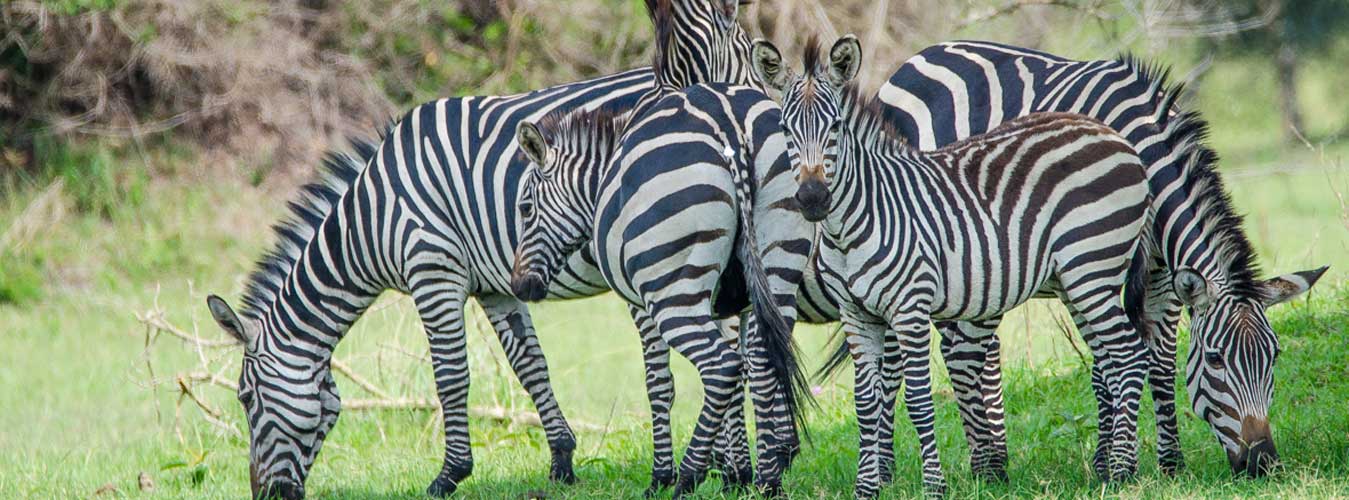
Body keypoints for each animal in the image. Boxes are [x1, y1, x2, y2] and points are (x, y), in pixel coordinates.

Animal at [755, 35, 1154, 498]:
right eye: (786, 131)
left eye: (835, 128)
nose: (813, 198)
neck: (853, 224)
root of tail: (1114, 136)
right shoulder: (857, 315)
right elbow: (866, 403)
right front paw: (866, 488)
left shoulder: (909, 309)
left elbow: (918, 400)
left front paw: (934, 485)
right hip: (1080, 280)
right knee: (1112, 360)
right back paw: (1114, 467)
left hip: (1092, 267)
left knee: (1129, 355)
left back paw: (1123, 470)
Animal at [863, 39, 1327, 477]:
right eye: (1215, 359)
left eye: (1274, 356)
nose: (1263, 462)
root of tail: (925, 53)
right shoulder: (1098, 265)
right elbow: (1108, 363)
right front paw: (1113, 462)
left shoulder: (1162, 272)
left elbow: (1159, 361)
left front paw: (1169, 462)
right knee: (904, 359)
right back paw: (905, 468)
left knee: (977, 351)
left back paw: (991, 458)